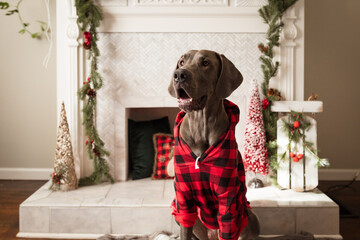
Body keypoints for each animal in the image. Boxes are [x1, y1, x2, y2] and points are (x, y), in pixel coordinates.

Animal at [167, 49, 260, 239]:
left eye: (205, 63)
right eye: (181, 62)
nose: (179, 75)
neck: (200, 126)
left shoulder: (227, 195)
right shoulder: (183, 194)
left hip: (250, 216)